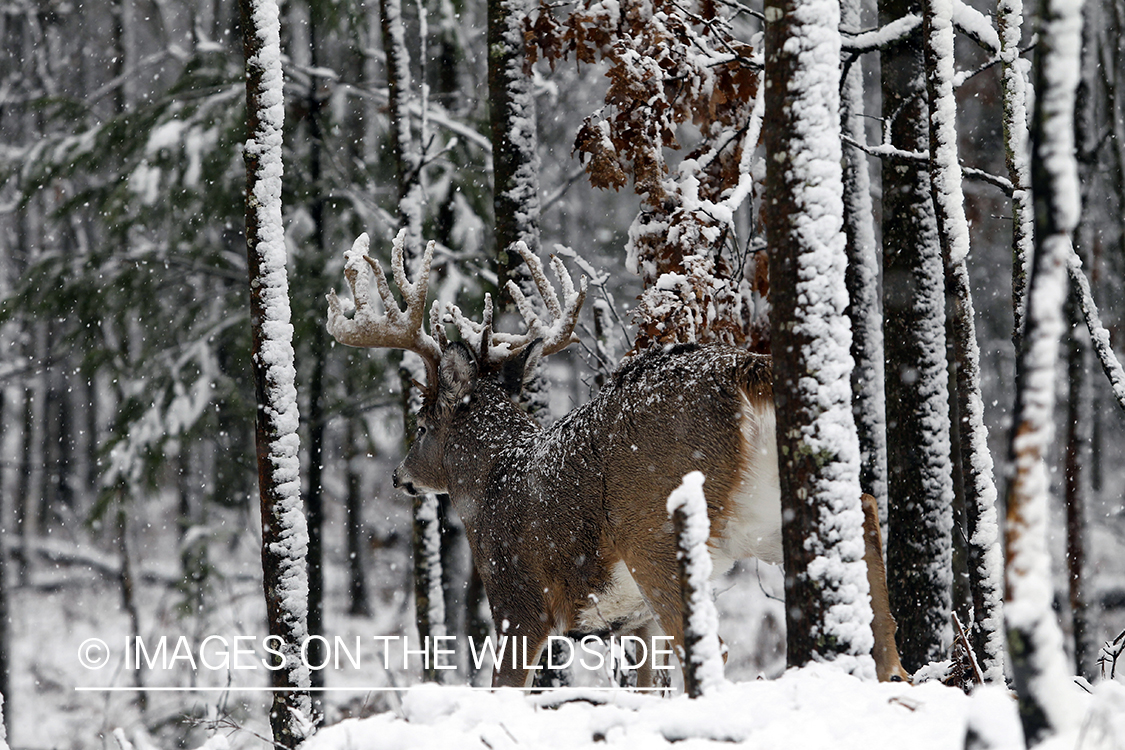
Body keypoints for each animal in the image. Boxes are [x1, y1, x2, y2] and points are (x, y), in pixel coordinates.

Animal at [328, 231, 909, 688]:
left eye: (423, 424)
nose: (400, 476)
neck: (495, 479)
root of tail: (744, 369)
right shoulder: (633, 622)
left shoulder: (519, 599)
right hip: (764, 513)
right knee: (862, 505)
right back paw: (893, 671)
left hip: (654, 528)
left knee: (711, 645)